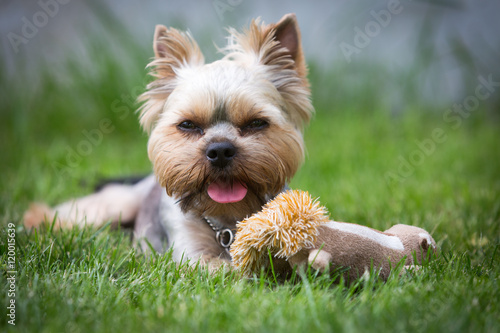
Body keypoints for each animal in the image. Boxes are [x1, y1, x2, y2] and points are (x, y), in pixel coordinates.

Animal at [24, 13, 312, 268]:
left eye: (256, 123)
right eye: (188, 125)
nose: (220, 150)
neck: (226, 222)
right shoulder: (191, 253)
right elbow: (221, 270)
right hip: (114, 206)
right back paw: (35, 220)